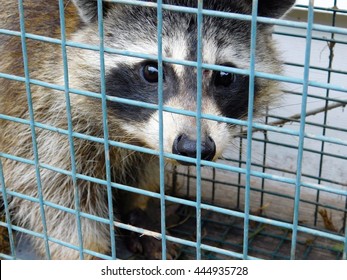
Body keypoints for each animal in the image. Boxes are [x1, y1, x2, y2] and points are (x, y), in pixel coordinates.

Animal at [0, 0, 296, 260]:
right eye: (151, 71)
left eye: (224, 76)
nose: (194, 148)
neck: (125, 128)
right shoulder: (40, 110)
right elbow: (54, 194)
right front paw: (86, 252)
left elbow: (145, 168)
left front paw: (140, 212)